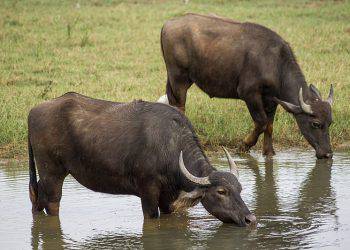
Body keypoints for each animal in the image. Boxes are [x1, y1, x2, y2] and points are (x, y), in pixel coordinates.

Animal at [28, 93, 256, 226]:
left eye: (240, 189)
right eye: (221, 192)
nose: (250, 219)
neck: (171, 146)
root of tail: (33, 111)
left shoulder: (168, 196)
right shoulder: (148, 192)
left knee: (37, 196)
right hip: (52, 172)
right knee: (52, 203)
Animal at [159, 13, 334, 158]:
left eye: (330, 122)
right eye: (316, 124)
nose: (328, 154)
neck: (276, 64)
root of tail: (167, 24)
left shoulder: (271, 99)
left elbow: (269, 125)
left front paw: (269, 152)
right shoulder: (250, 94)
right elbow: (261, 122)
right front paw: (243, 146)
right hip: (179, 78)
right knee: (179, 107)